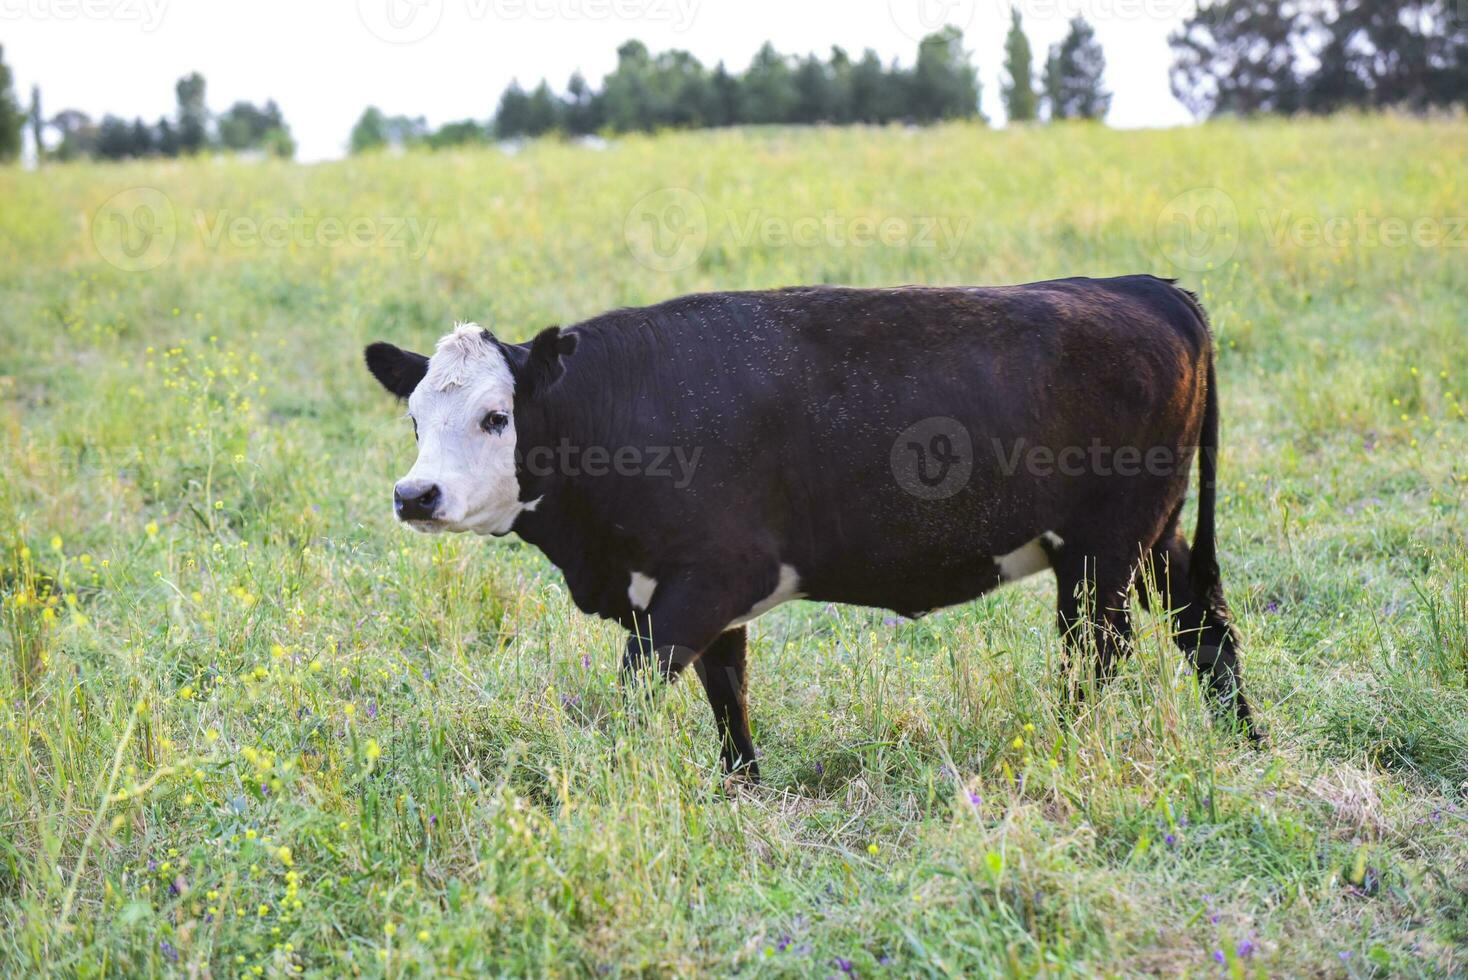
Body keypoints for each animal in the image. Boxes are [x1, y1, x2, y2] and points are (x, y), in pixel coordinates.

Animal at [367, 275, 1262, 780]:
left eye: (496, 417)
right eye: (415, 417)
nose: (416, 494)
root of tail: (1147, 286)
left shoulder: (709, 580)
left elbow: (636, 692)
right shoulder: (707, 598)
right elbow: (728, 697)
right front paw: (743, 791)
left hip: (1102, 550)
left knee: (1097, 653)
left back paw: (1069, 750)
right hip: (1155, 534)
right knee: (1203, 625)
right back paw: (1245, 743)